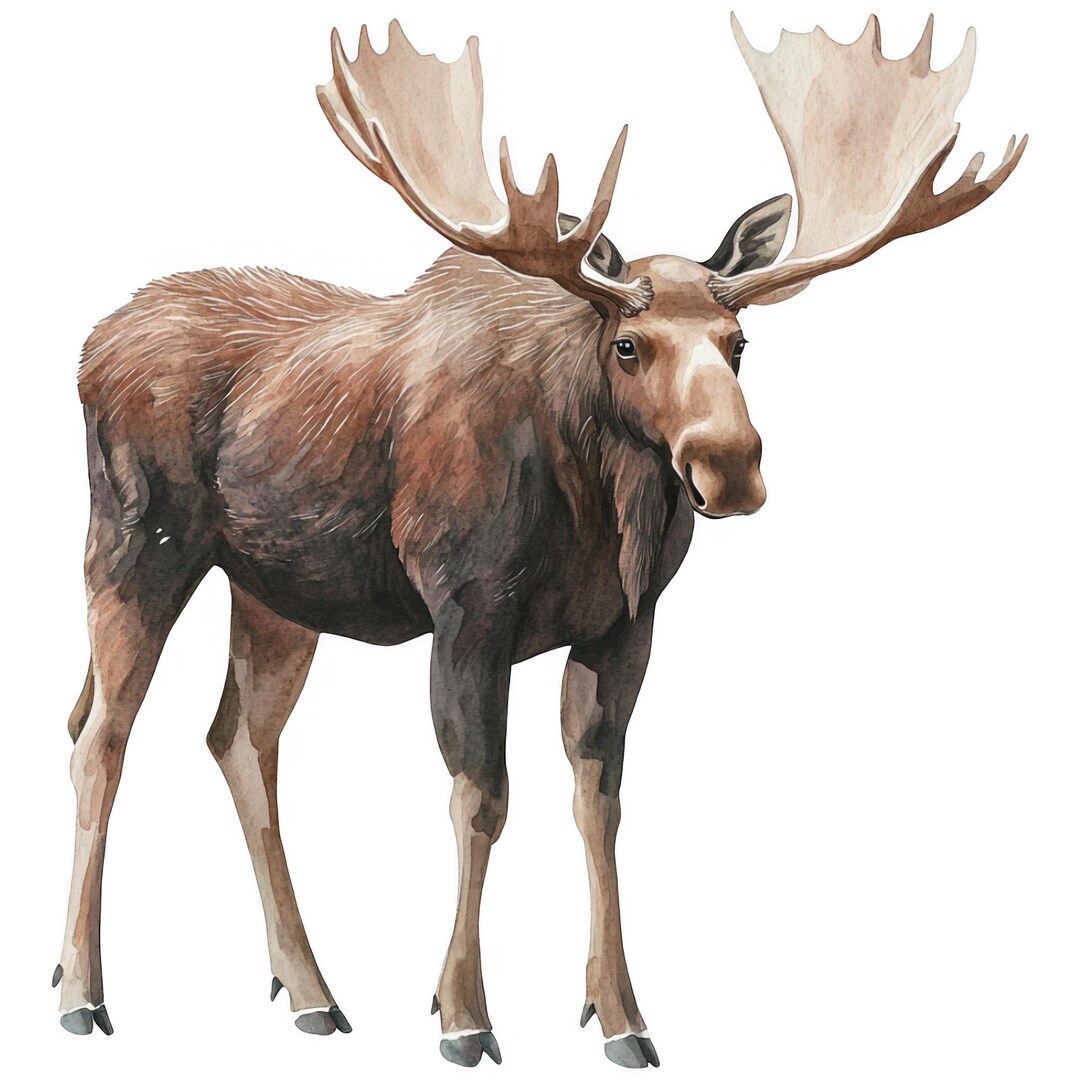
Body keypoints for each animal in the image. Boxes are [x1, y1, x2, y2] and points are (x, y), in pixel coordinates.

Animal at [54, 14, 1025, 1069]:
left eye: (740, 344)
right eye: (629, 344)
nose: (730, 466)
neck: (602, 511)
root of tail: (90, 346)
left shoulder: (623, 627)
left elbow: (598, 800)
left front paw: (624, 1017)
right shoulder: (467, 613)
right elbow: (482, 797)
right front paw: (464, 1015)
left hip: (275, 590)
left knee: (234, 736)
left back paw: (309, 992)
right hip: (138, 544)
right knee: (102, 734)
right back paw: (82, 994)